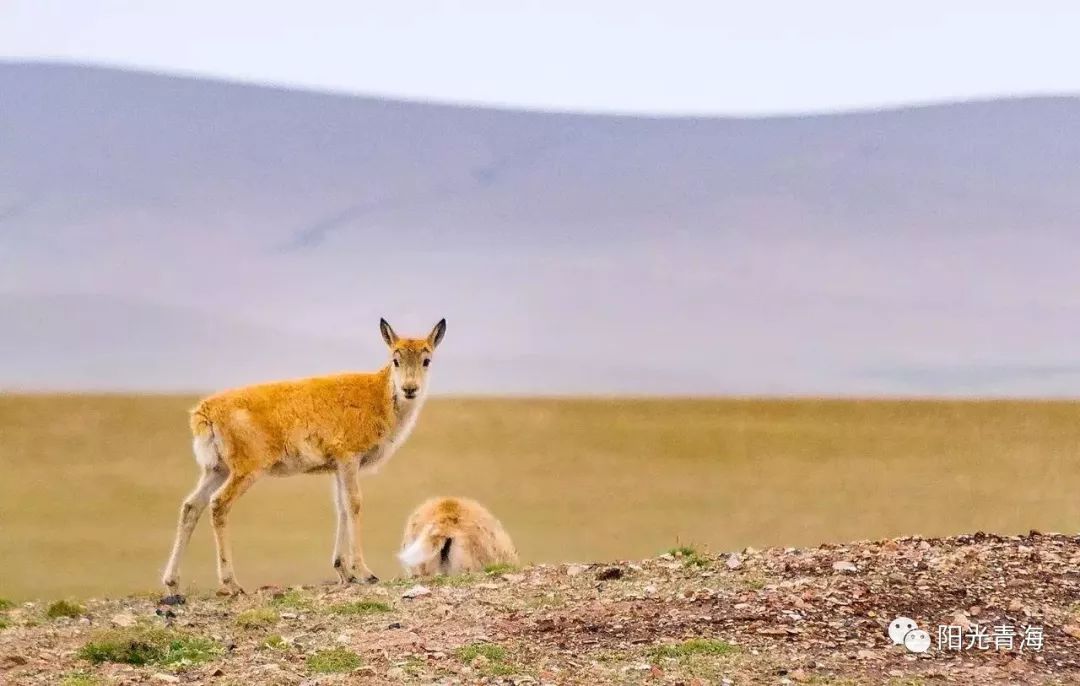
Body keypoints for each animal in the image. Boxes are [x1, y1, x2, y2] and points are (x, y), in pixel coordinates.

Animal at [160, 317, 447, 596]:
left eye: (426, 359)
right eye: (395, 359)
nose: (410, 389)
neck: (377, 394)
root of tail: (205, 411)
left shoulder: (337, 467)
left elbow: (341, 508)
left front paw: (344, 571)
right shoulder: (349, 459)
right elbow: (354, 503)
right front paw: (364, 572)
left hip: (216, 470)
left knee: (191, 506)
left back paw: (173, 583)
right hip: (245, 472)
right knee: (218, 504)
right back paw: (231, 583)